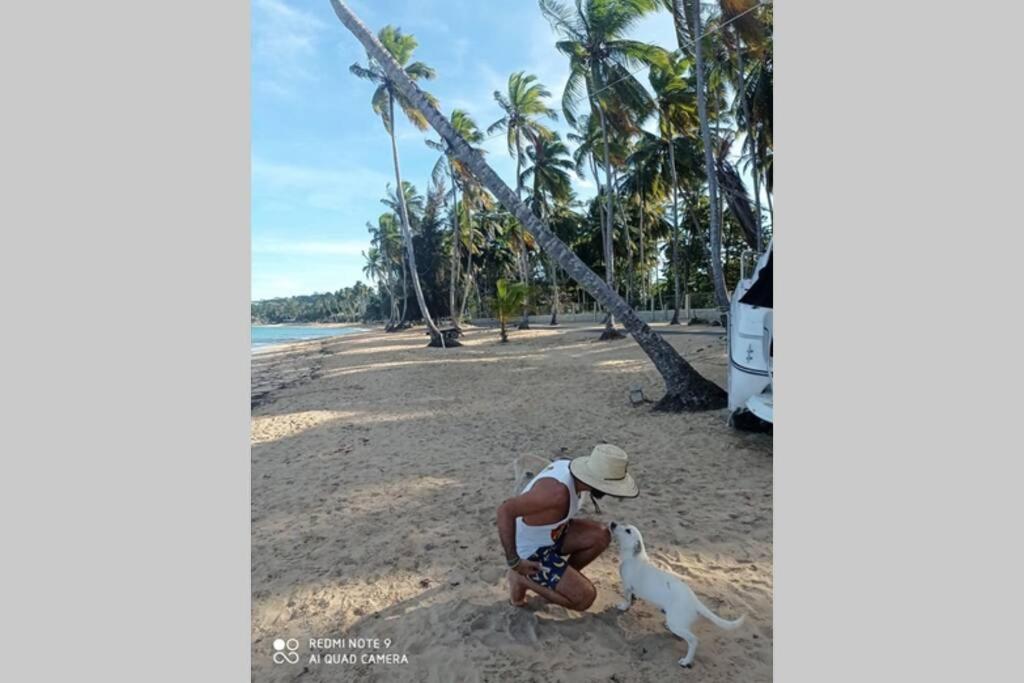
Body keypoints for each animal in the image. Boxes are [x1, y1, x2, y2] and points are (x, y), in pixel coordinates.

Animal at [606, 524, 745, 667]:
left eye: (628, 530)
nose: (612, 523)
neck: (634, 557)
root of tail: (695, 601)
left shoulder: (627, 585)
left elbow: (626, 598)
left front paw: (623, 606)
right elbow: (632, 597)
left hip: (677, 624)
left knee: (693, 640)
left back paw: (686, 660)